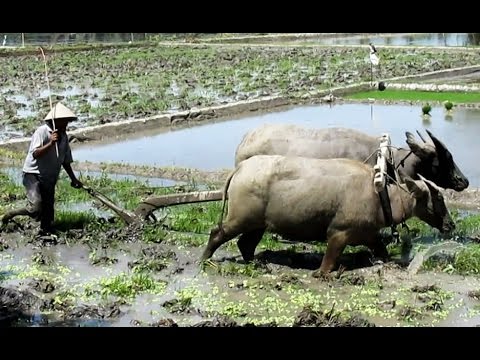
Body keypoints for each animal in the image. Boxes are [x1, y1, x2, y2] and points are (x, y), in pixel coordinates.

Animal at [201, 155, 456, 276]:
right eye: (439, 198)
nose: (450, 225)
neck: (379, 193)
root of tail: (241, 168)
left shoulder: (369, 236)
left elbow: (382, 251)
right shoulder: (338, 233)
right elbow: (328, 261)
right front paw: (320, 273)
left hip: (258, 224)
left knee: (245, 244)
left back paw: (256, 263)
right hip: (240, 219)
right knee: (217, 233)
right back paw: (205, 258)